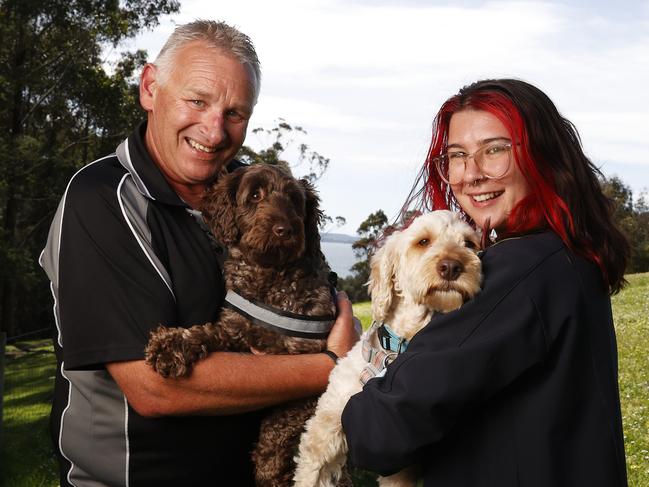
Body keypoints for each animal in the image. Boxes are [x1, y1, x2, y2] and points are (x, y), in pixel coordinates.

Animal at [294, 212, 480, 487]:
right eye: (423, 241)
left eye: (469, 243)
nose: (452, 266)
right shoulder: (327, 421)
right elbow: (312, 468)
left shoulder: (402, 469)